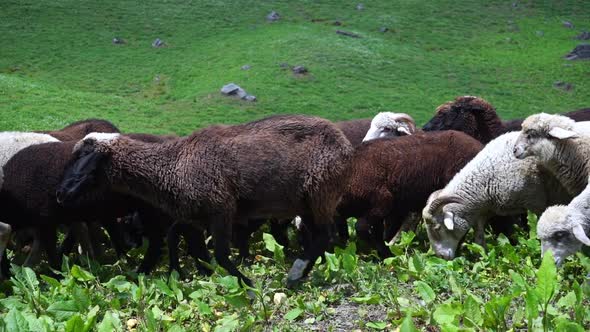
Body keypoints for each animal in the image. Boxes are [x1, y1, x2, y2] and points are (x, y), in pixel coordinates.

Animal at [57, 115, 356, 286]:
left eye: (85, 156)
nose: (61, 193)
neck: (171, 166)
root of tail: (343, 142)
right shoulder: (194, 217)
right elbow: (197, 250)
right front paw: (201, 277)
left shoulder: (221, 208)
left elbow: (221, 254)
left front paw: (248, 286)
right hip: (306, 201)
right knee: (320, 236)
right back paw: (301, 274)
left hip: (321, 191)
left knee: (325, 235)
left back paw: (294, 275)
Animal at [424, 132, 572, 260]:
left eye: (437, 229)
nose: (442, 257)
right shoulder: (482, 212)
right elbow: (479, 239)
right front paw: (482, 258)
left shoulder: (535, 201)